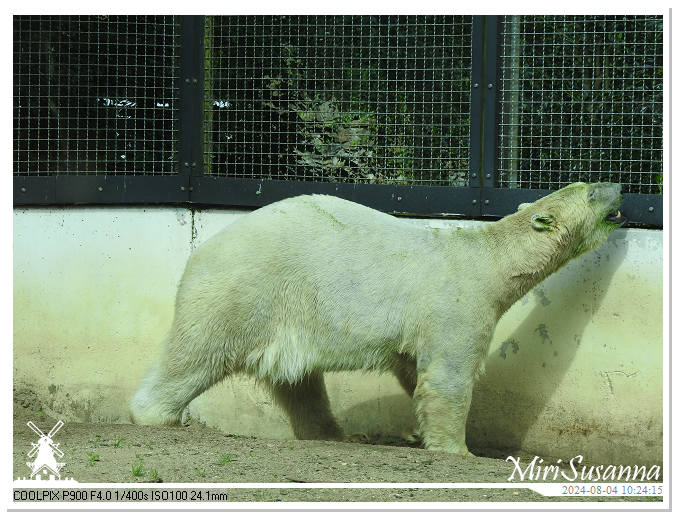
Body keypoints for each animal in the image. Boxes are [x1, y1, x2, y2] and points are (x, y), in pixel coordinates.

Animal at [131, 181, 628, 452]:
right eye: (590, 190)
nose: (618, 184)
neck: (489, 257)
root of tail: (200, 252)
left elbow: (413, 370)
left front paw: (417, 432)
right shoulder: (459, 302)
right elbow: (449, 376)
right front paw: (459, 449)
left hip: (290, 313)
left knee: (299, 382)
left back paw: (336, 436)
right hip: (245, 291)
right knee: (196, 353)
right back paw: (155, 415)